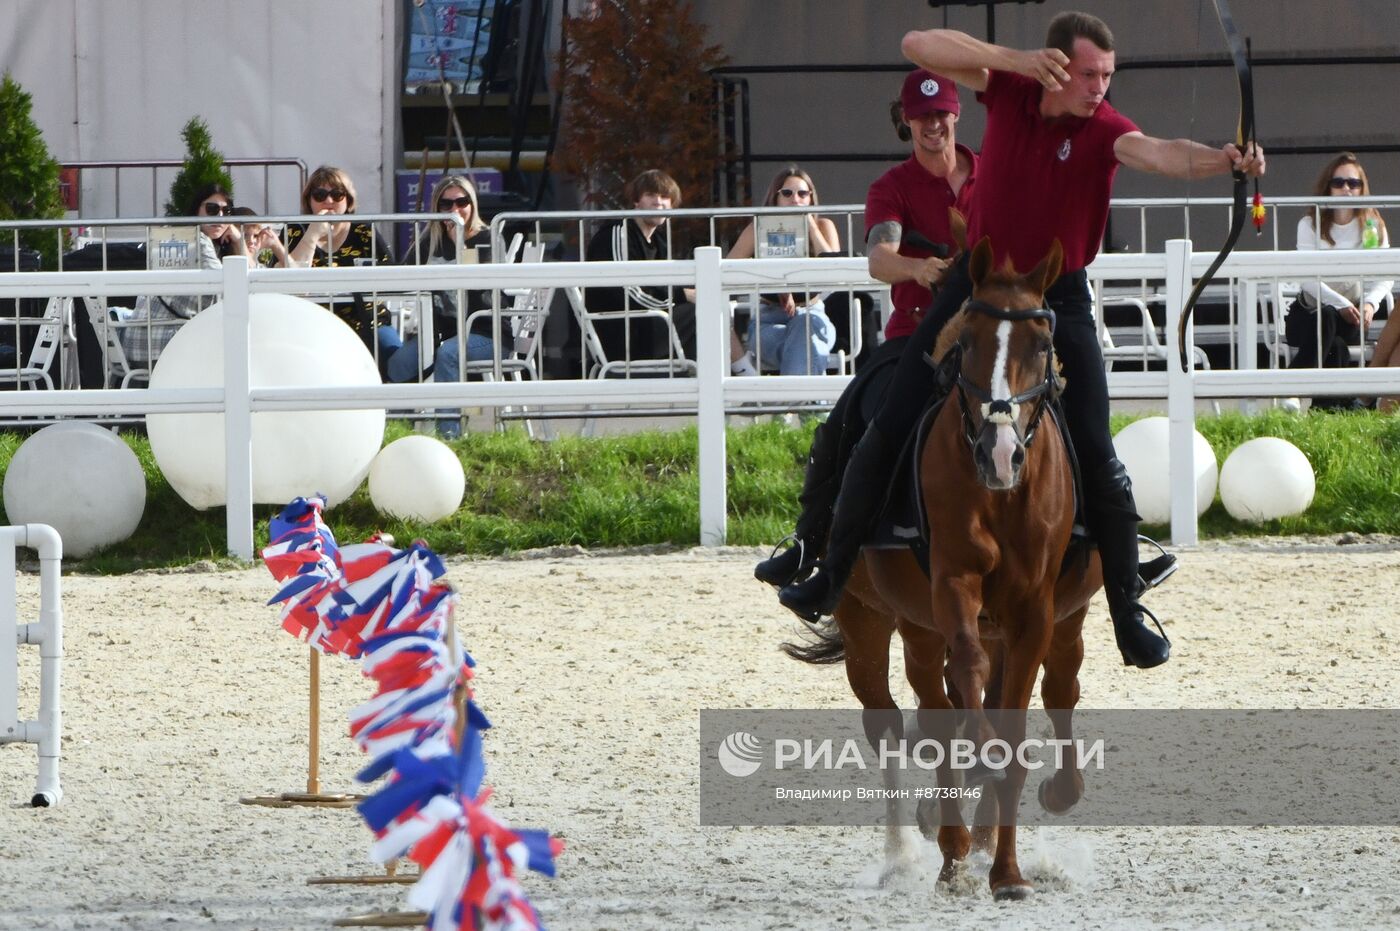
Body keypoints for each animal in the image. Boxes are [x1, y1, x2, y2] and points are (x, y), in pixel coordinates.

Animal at [789, 238, 1092, 901]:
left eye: (1042, 345)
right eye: (967, 342)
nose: (1000, 453)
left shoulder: (1035, 612)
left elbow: (1017, 723)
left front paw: (1008, 873)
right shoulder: (951, 588)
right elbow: (965, 697)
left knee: (1041, 691)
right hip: (872, 621)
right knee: (899, 722)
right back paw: (916, 851)